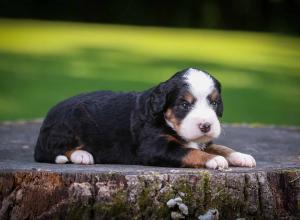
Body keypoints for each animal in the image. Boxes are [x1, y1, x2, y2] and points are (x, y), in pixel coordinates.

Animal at [34, 68, 255, 169]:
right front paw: (213, 160)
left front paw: (241, 156)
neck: (163, 119)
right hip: (69, 122)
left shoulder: (203, 141)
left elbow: (220, 147)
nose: (206, 125)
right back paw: (82, 155)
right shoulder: (154, 147)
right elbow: (189, 151)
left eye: (214, 103)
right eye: (184, 105)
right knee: (54, 150)